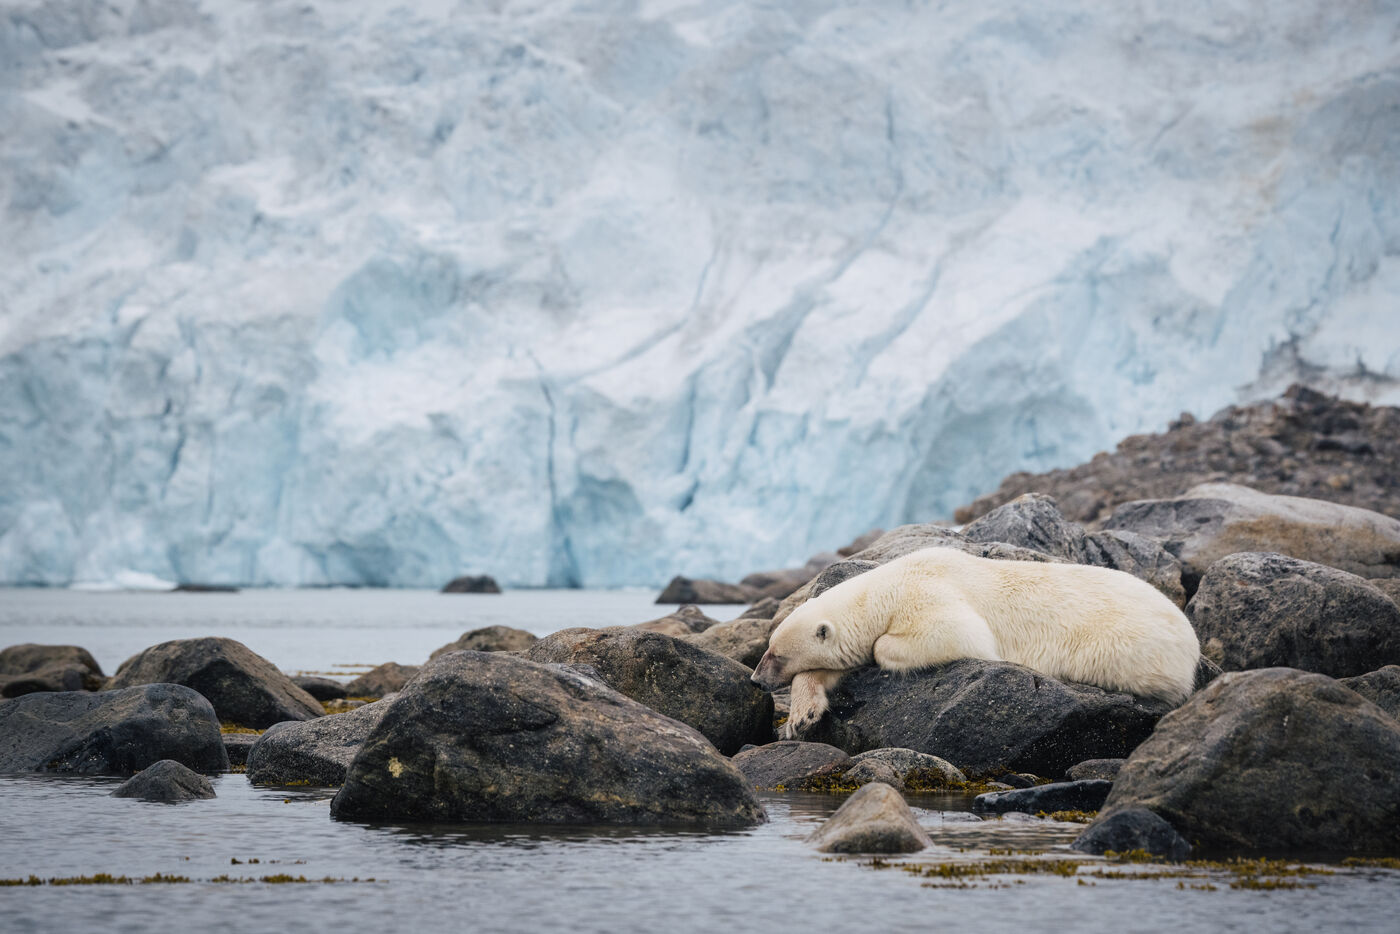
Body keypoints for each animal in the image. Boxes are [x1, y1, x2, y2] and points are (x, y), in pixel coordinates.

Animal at [752, 547, 1201, 739]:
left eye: (776, 654)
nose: (756, 679)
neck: (886, 587)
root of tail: (1192, 643)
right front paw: (801, 718)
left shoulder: (930, 594)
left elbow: (959, 634)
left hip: (1124, 647)